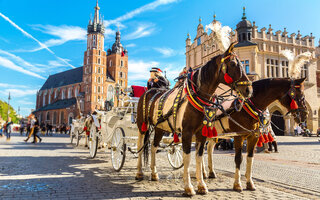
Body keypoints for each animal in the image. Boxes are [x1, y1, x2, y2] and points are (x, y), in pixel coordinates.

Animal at [134, 43, 252, 195]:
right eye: (232, 64)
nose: (249, 90)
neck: (197, 96)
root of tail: (149, 91)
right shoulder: (187, 132)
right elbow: (187, 157)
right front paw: (188, 187)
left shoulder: (201, 133)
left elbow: (199, 157)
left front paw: (201, 185)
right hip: (142, 125)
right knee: (140, 145)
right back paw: (139, 173)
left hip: (160, 127)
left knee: (154, 147)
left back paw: (154, 174)